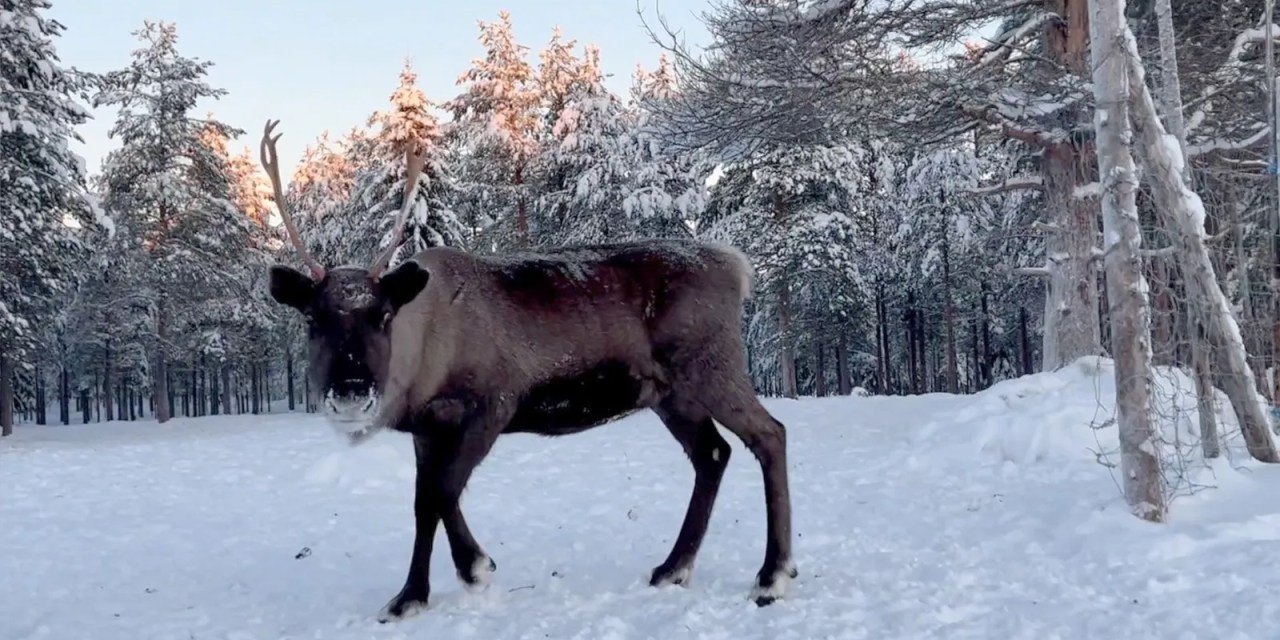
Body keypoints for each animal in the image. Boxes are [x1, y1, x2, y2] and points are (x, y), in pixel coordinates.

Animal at [257, 120, 797, 622]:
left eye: (384, 315)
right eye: (312, 318)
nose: (350, 391)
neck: (426, 351)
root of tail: (737, 266)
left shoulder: (493, 405)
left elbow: (443, 490)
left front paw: (476, 568)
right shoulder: (428, 429)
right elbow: (422, 502)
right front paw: (409, 597)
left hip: (712, 365)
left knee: (769, 434)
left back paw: (772, 576)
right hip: (670, 394)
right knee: (712, 454)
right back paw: (673, 568)